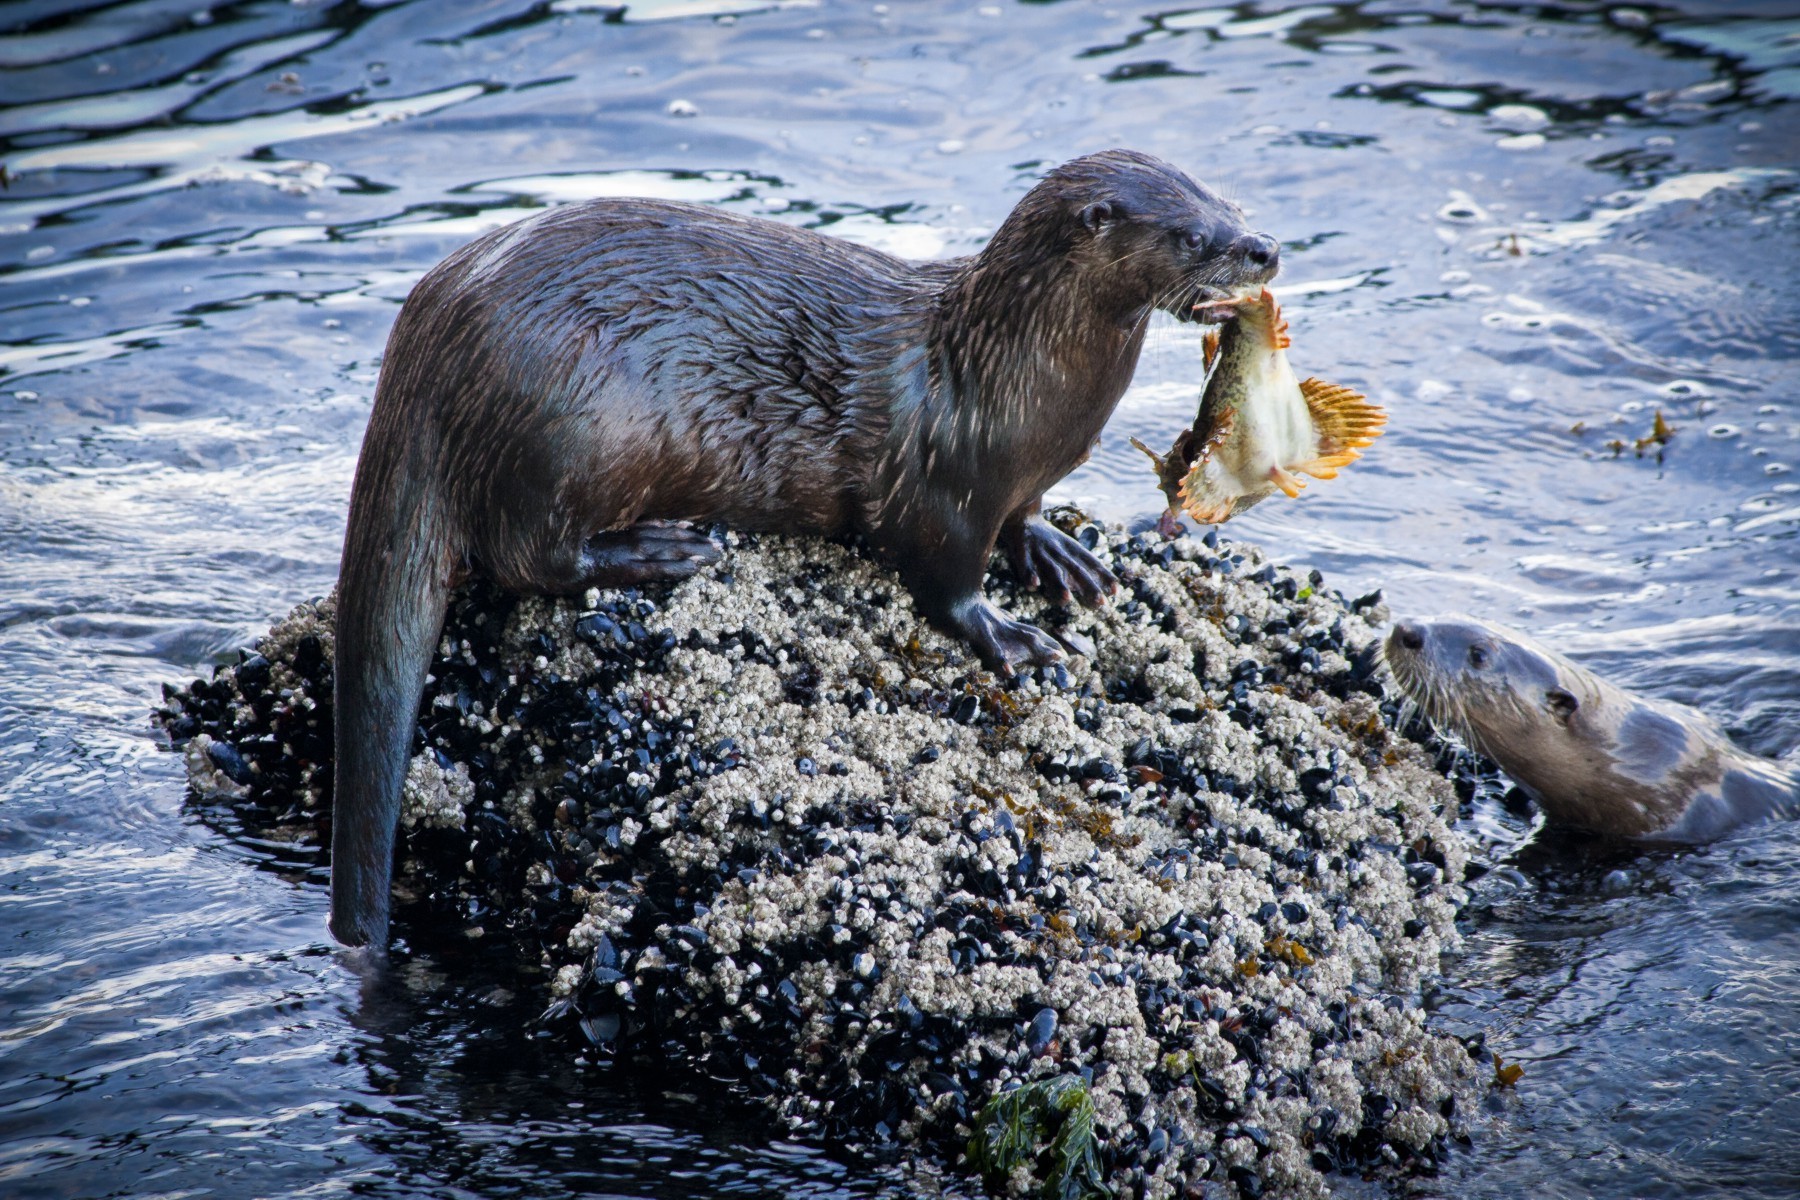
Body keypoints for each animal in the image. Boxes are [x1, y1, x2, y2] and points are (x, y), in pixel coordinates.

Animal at [331, 147, 1288, 949]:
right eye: (1191, 234)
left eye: (1230, 201)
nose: (1265, 249)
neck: (1011, 379)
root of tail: (425, 343)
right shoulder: (945, 490)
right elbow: (947, 585)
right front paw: (1012, 636)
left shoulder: (1023, 478)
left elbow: (1027, 516)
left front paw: (1060, 555)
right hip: (572, 427)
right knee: (527, 555)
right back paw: (662, 550)